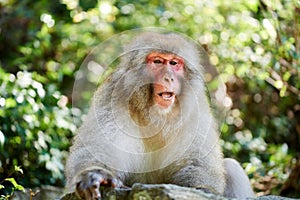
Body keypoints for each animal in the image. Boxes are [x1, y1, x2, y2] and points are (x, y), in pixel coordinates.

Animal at [64, 32, 254, 199]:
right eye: (157, 61)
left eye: (174, 63)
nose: (169, 77)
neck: (156, 115)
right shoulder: (111, 96)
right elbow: (96, 149)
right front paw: (96, 175)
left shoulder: (196, 108)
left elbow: (196, 162)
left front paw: (202, 190)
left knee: (232, 167)